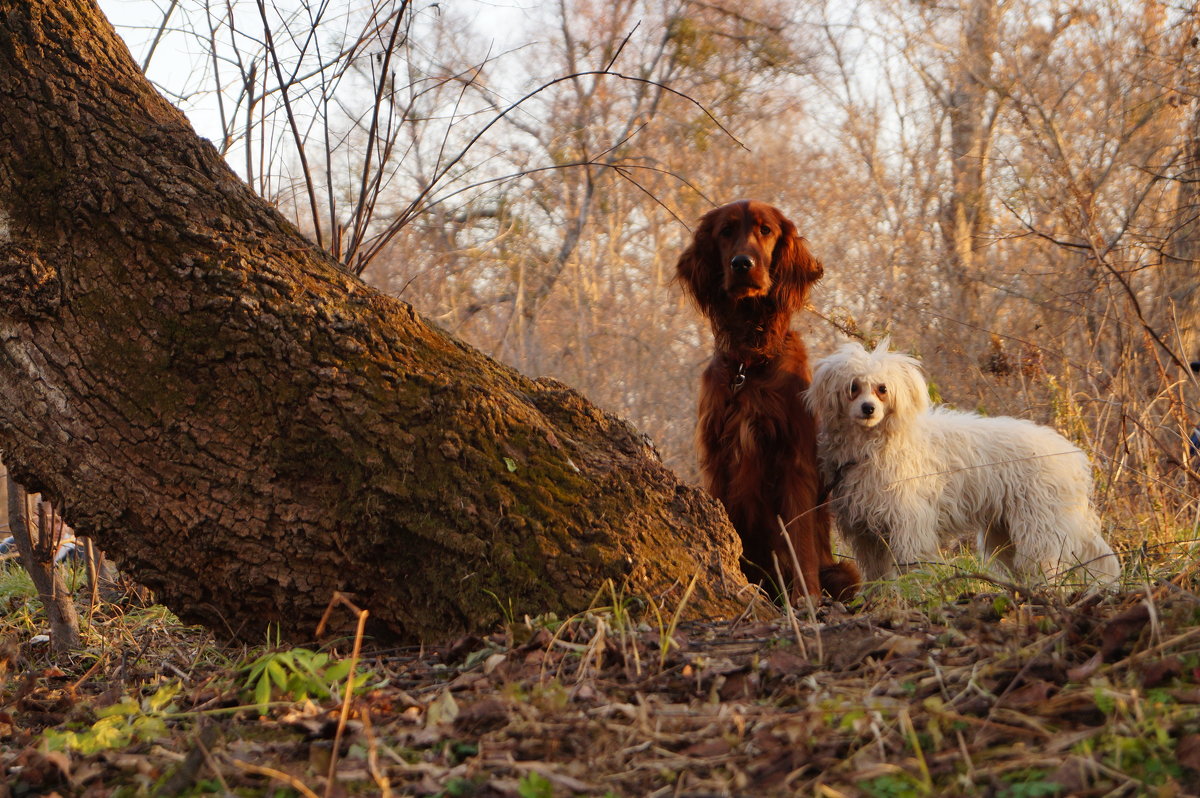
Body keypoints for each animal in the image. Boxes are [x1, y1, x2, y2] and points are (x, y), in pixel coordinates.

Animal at [676, 199, 864, 597]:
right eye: (726, 231)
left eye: (766, 230)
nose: (741, 264)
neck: (748, 363)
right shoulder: (716, 460)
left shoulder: (795, 461)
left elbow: (799, 539)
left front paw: (806, 598)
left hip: (843, 572)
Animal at [806, 338, 1123, 585]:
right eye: (853, 387)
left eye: (882, 388)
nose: (868, 408)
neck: (875, 444)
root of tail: (1072, 456)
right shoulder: (866, 533)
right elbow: (877, 574)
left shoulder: (909, 524)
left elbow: (913, 565)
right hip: (1003, 534)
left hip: (1039, 527)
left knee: (1046, 565)